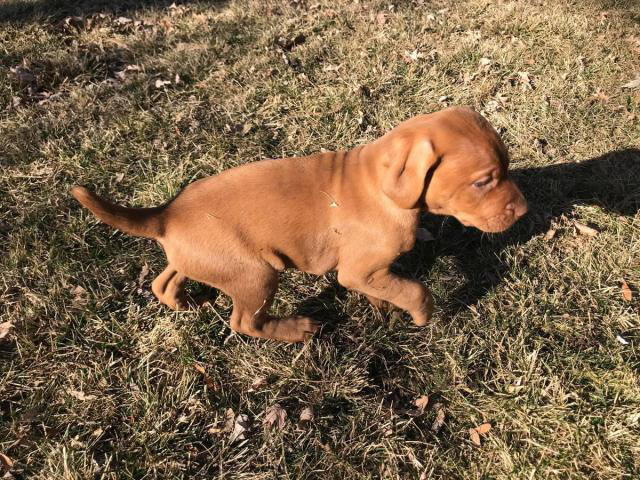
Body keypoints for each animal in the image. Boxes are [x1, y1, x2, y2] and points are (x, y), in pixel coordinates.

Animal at [72, 107, 528, 344]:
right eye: (483, 181)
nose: (523, 210)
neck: (380, 184)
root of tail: (167, 213)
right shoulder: (356, 270)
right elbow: (414, 289)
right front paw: (422, 314)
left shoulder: (370, 272)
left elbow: (389, 287)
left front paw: (383, 306)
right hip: (256, 274)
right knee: (246, 322)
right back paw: (296, 329)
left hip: (205, 260)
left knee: (164, 280)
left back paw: (183, 302)